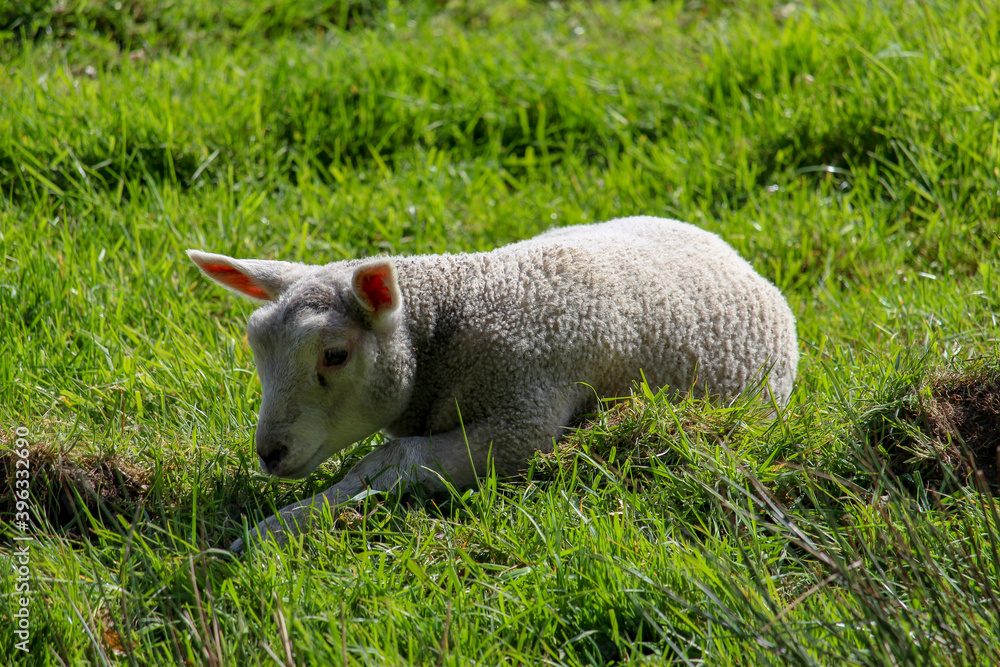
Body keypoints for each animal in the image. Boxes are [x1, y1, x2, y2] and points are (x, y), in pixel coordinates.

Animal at [188, 216, 799, 552]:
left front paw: (271, 532)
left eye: (334, 355)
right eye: (255, 344)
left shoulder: (522, 421)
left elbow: (392, 460)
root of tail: (730, 251)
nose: (269, 453)